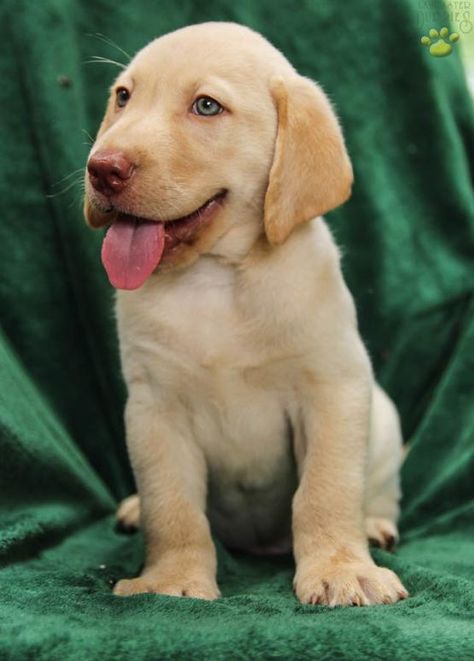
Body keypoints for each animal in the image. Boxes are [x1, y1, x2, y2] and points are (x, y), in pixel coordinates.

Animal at [84, 20, 408, 604]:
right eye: (123, 97)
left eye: (206, 106)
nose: (101, 169)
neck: (215, 276)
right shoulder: (155, 409)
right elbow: (173, 506)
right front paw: (172, 581)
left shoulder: (332, 388)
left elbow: (326, 490)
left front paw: (341, 568)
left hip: (386, 422)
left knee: (376, 490)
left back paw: (373, 526)